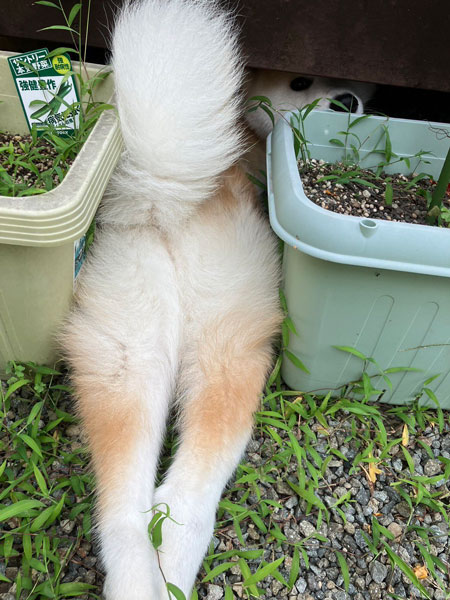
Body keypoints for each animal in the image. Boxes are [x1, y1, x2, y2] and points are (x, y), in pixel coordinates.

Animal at [62, 1, 284, 600]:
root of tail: (159, 204)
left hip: (127, 356)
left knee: (134, 512)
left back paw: (151, 576)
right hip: (229, 345)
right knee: (195, 479)